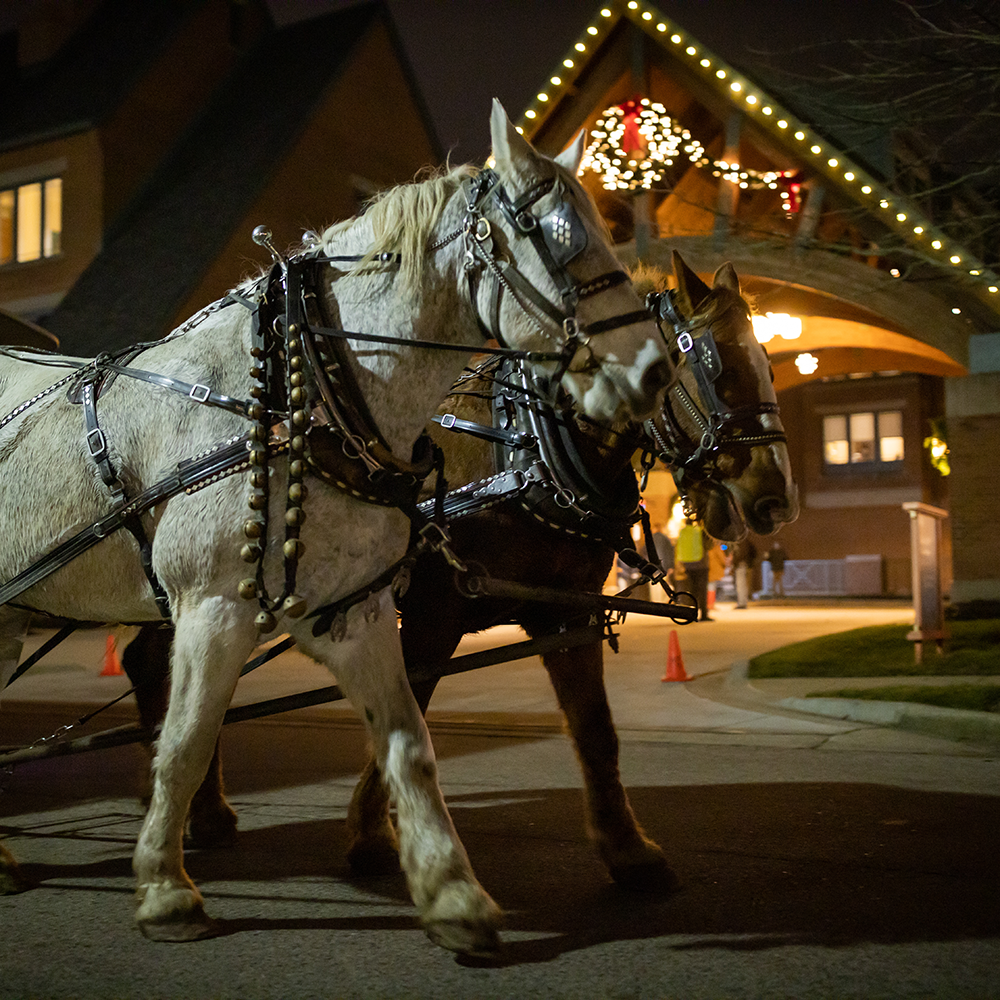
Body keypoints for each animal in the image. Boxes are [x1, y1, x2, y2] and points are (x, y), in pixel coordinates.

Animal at [1, 101, 672, 952]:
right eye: (555, 232)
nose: (653, 368)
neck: (311, 398)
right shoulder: (214, 607)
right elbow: (185, 742)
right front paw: (163, 887)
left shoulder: (354, 608)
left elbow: (407, 743)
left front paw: (451, 891)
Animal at [113, 252, 796, 892]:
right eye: (713, 367)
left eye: (766, 360)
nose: (776, 501)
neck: (524, 450)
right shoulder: (433, 615)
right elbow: (404, 714)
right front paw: (373, 838)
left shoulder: (566, 610)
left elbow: (596, 731)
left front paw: (630, 854)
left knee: (159, 664)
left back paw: (183, 800)